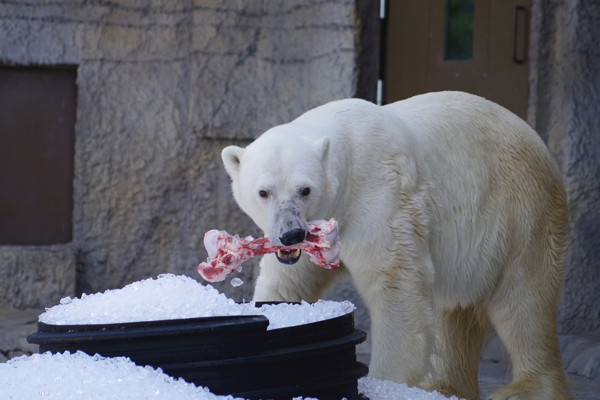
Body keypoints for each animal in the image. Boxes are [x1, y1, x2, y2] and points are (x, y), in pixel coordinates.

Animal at [223, 91, 568, 400]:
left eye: (305, 190)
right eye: (263, 192)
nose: (291, 234)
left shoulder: (380, 195)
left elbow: (395, 282)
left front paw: (383, 384)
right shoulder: (315, 232)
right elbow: (287, 283)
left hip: (520, 207)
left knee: (524, 296)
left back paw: (526, 389)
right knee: (453, 307)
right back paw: (442, 386)